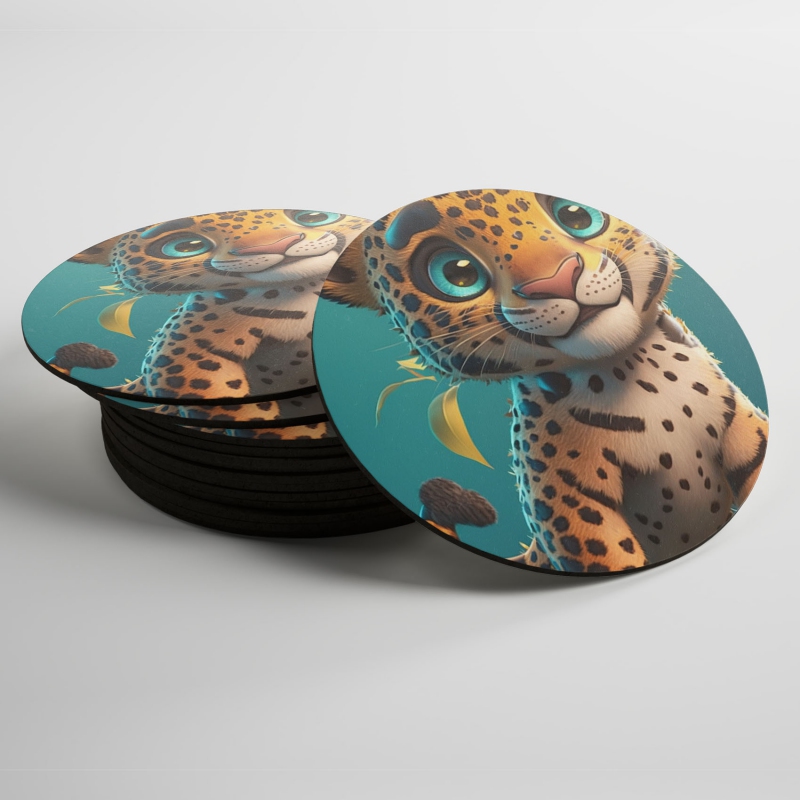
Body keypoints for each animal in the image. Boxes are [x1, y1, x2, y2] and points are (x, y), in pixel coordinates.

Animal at [52, 208, 370, 436]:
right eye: (185, 246)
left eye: (313, 217)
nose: (279, 244)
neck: (301, 290)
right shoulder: (181, 349)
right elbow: (216, 395)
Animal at [323, 189, 769, 573]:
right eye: (456, 272)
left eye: (576, 216)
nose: (560, 280)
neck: (632, 369)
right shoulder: (570, 504)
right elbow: (604, 550)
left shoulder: (744, 427)